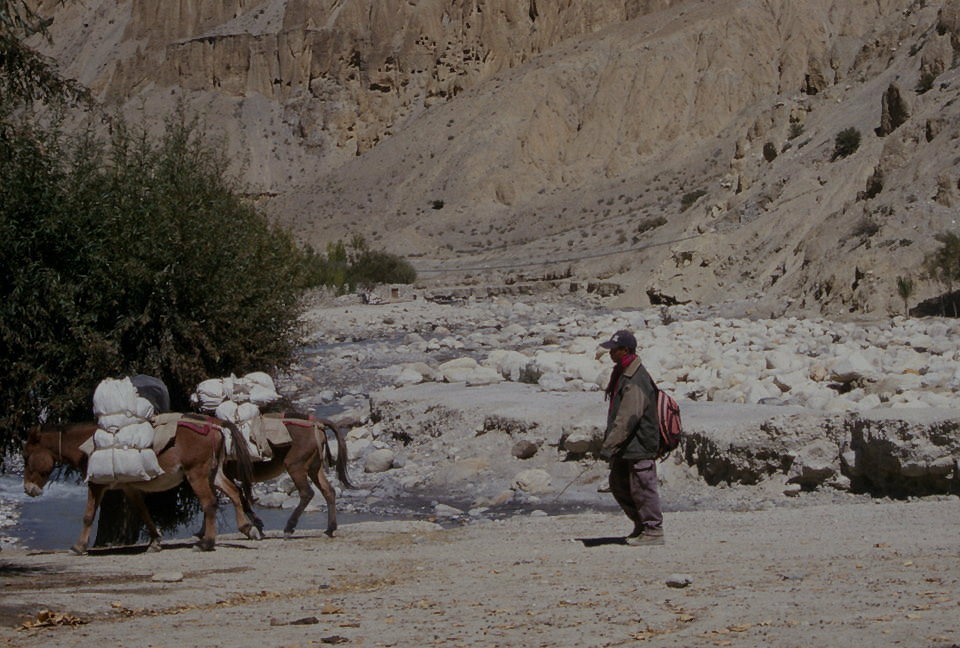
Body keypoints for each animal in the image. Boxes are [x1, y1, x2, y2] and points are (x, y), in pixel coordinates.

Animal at [23, 412, 258, 556]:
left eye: (26, 456)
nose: (28, 489)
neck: (87, 445)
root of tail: (214, 425)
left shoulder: (96, 485)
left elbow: (88, 515)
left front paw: (78, 546)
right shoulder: (130, 488)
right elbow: (144, 513)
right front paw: (155, 542)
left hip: (197, 475)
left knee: (210, 503)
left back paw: (206, 543)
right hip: (213, 473)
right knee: (234, 492)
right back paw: (247, 528)